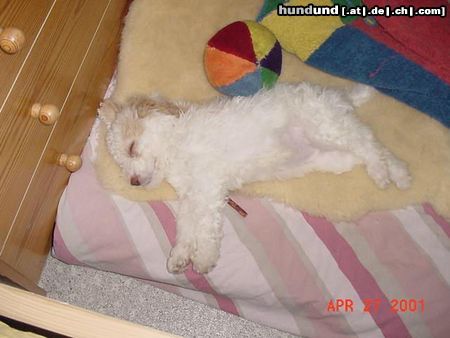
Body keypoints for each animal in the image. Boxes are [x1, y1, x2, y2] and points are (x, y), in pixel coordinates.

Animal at [101, 82, 412, 274]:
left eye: (132, 148)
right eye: (120, 164)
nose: (132, 182)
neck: (175, 147)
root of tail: (338, 97)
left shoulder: (208, 187)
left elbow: (205, 228)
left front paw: (204, 259)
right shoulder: (192, 196)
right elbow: (186, 228)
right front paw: (180, 256)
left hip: (329, 127)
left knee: (371, 145)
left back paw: (385, 174)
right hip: (330, 154)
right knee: (370, 149)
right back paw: (394, 174)